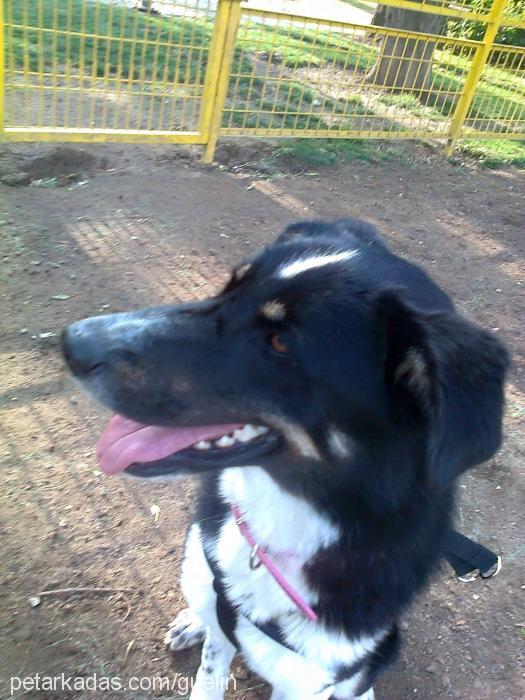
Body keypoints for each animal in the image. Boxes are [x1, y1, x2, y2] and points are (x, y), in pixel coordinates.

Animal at [61, 220, 508, 700]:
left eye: (279, 342)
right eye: (230, 287)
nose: (72, 343)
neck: (280, 519)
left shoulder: (304, 680)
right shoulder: (221, 616)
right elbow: (210, 671)